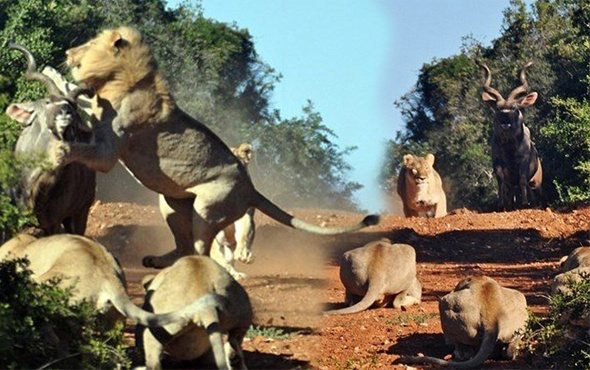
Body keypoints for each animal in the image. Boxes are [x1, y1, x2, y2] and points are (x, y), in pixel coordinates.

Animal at [55, 26, 380, 268]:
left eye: (88, 44)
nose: (68, 53)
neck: (123, 79)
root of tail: (251, 187)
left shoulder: (110, 149)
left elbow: (91, 148)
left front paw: (63, 148)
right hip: (171, 202)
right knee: (184, 244)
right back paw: (160, 261)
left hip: (209, 208)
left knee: (202, 251)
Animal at [484, 62, 544, 210]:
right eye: (498, 109)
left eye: (514, 107)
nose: (505, 123)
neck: (510, 149)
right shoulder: (497, 163)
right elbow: (501, 182)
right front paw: (501, 205)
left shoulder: (524, 161)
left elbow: (522, 180)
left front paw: (525, 203)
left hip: (536, 181)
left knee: (533, 189)